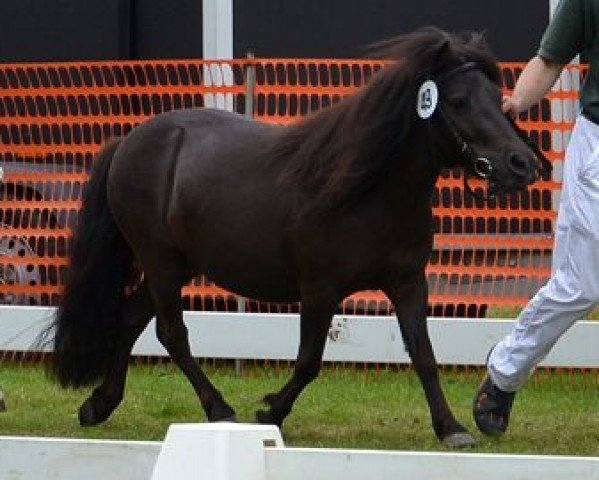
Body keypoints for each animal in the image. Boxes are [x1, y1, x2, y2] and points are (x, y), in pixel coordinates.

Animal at [44, 27, 548, 446]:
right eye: (459, 100)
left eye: (498, 97)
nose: (522, 164)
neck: (368, 189)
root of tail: (128, 141)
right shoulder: (320, 289)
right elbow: (309, 360)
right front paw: (270, 413)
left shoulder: (408, 283)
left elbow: (423, 354)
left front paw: (451, 427)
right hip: (161, 261)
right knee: (173, 333)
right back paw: (219, 409)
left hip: (178, 264)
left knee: (131, 319)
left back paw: (99, 404)